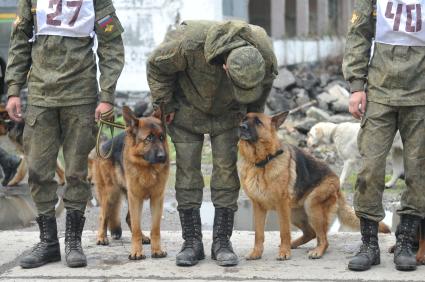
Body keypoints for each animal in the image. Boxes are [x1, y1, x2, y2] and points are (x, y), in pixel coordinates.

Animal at [93, 106, 170, 260]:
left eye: (161, 137)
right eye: (149, 138)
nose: (163, 157)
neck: (147, 167)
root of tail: (105, 144)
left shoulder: (157, 199)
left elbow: (155, 229)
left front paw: (156, 250)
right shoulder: (136, 198)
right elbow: (136, 228)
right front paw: (136, 252)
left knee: (128, 218)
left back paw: (144, 237)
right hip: (110, 195)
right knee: (103, 216)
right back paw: (101, 237)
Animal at [237, 112, 390, 260]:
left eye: (258, 122)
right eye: (244, 119)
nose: (241, 127)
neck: (261, 162)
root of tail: (337, 182)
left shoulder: (281, 205)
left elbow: (284, 231)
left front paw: (284, 252)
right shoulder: (258, 207)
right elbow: (258, 234)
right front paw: (256, 253)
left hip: (311, 205)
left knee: (323, 238)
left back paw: (316, 251)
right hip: (294, 213)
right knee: (311, 233)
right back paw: (295, 245)